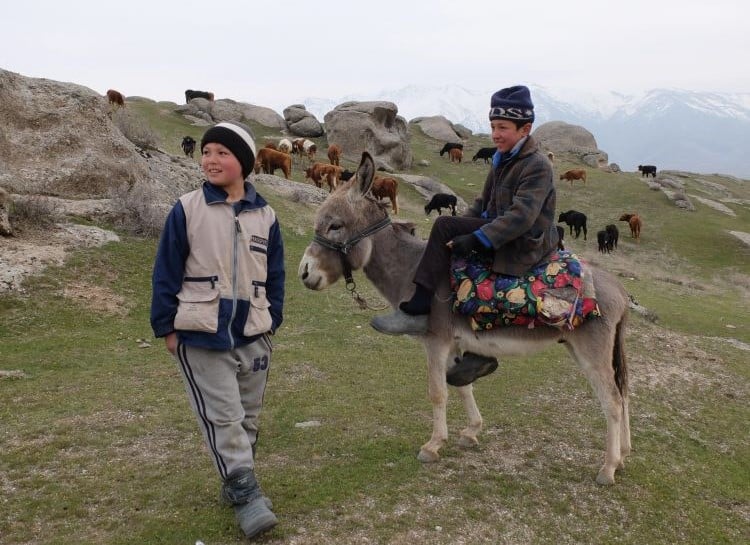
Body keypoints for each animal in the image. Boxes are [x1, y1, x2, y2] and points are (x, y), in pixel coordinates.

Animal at [298, 152, 631, 485]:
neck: (413, 270)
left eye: (335, 225)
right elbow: (462, 385)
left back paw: (608, 467)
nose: (304, 273)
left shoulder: (436, 341)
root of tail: (619, 290)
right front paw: (471, 432)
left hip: (591, 350)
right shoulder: (456, 344)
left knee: (612, 401)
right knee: (623, 392)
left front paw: (432, 445)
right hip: (581, 348)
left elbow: (437, 392)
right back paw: (624, 454)